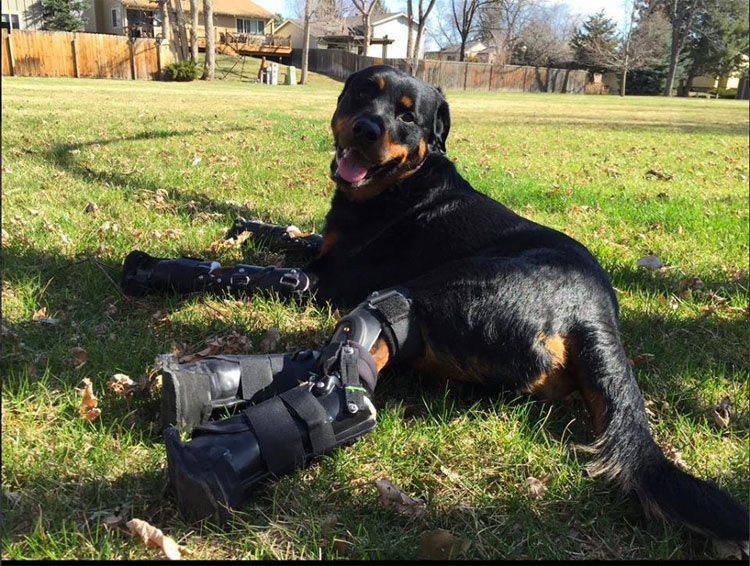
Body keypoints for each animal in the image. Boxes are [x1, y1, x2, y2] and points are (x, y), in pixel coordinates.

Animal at [126, 65, 748, 552]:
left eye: (407, 116)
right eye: (362, 93)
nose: (367, 128)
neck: (397, 187)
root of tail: (597, 310)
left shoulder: (321, 281)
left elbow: (251, 271)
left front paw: (157, 266)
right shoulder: (323, 250)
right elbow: (289, 235)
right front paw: (248, 226)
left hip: (444, 290)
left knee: (370, 339)